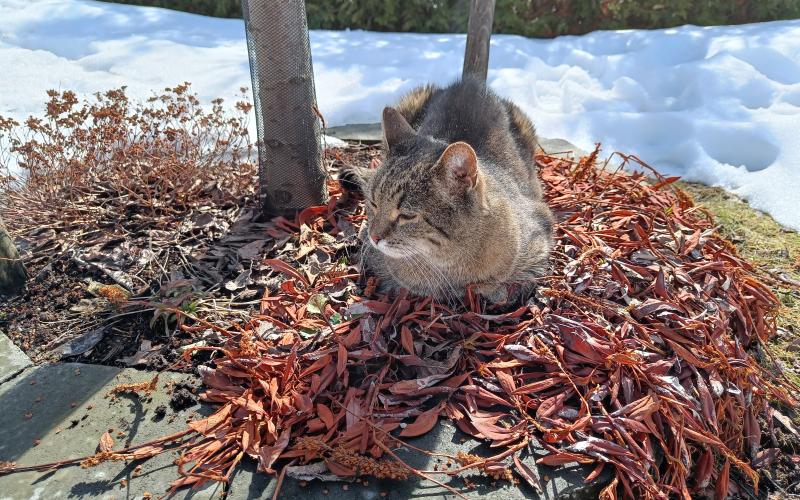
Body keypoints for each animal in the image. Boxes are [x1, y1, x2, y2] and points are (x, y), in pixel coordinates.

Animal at [340, 78, 552, 302]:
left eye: (407, 216)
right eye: (373, 204)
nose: (374, 237)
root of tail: (470, 81)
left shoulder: (540, 234)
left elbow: (510, 282)